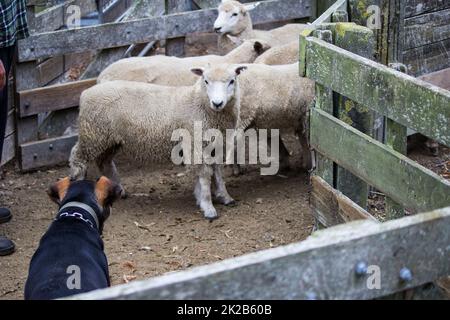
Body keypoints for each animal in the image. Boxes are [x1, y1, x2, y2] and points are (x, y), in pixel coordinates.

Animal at [69, 64, 246, 220]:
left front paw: (224, 196)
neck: (198, 102)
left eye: (232, 81)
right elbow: (204, 175)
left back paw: (118, 190)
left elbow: (217, 172)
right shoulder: (194, 143)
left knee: (104, 161)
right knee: (78, 157)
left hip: (110, 139)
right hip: (93, 134)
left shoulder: (215, 145)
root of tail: (86, 92)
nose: (217, 103)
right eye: (206, 81)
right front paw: (207, 206)